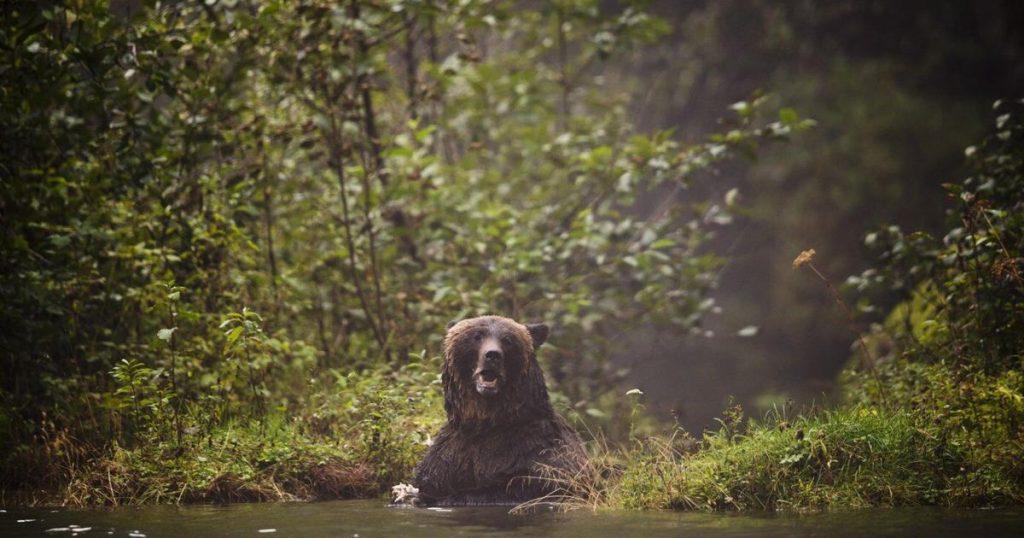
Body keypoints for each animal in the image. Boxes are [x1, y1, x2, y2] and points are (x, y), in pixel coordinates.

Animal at [397, 315, 587, 506]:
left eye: (508, 340)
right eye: (477, 336)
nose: (492, 355)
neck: (487, 422)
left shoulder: (538, 451)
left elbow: (527, 486)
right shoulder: (449, 454)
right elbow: (430, 478)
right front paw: (409, 493)